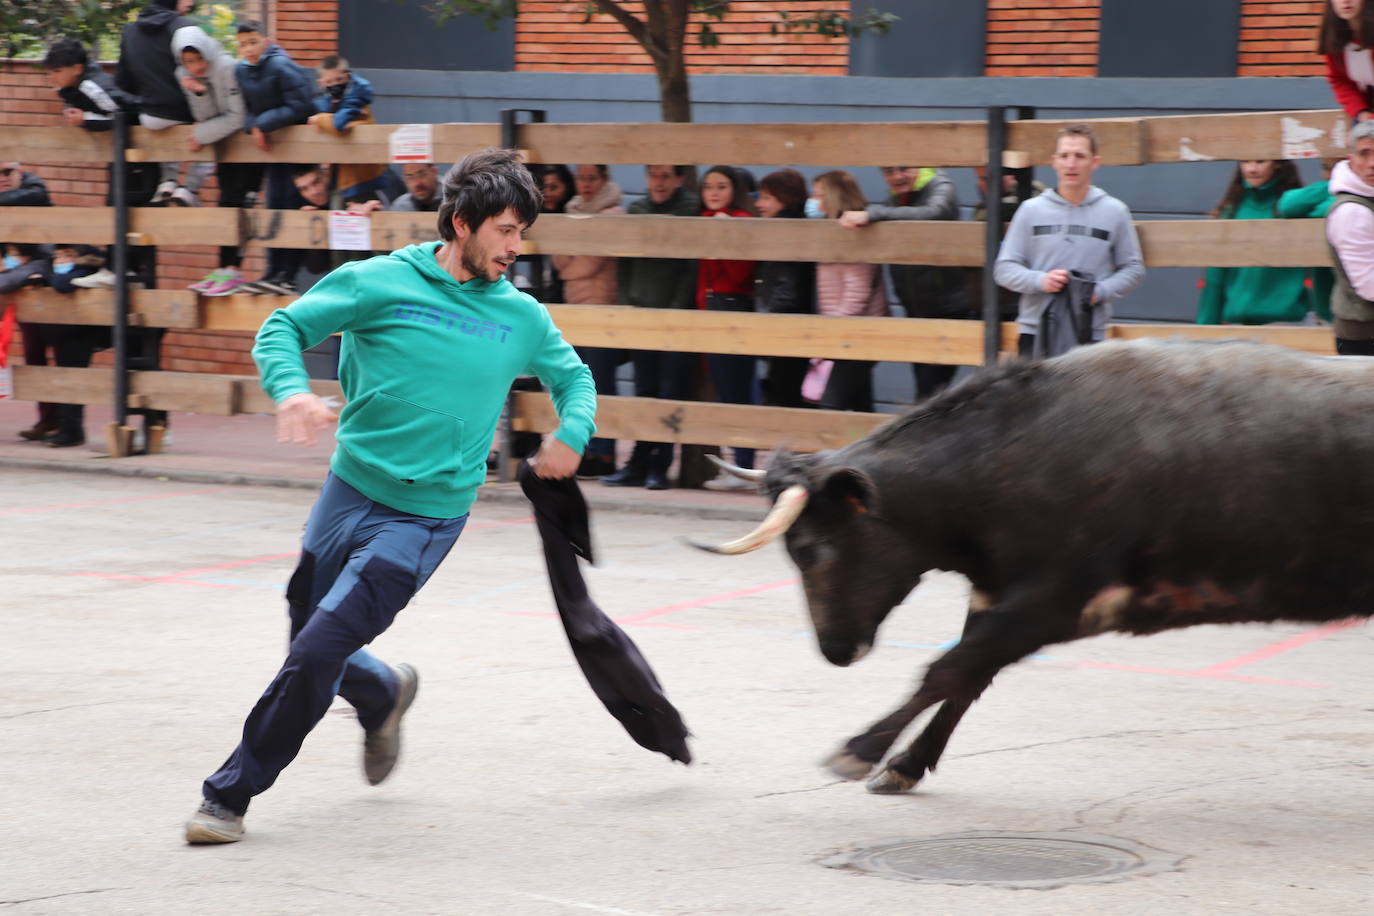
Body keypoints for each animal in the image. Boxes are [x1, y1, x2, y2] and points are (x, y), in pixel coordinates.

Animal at [692, 339, 1368, 796]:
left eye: (809, 549)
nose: (835, 652)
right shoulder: (1001, 599)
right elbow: (966, 678)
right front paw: (904, 766)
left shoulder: (1051, 601)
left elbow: (947, 671)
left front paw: (861, 750)